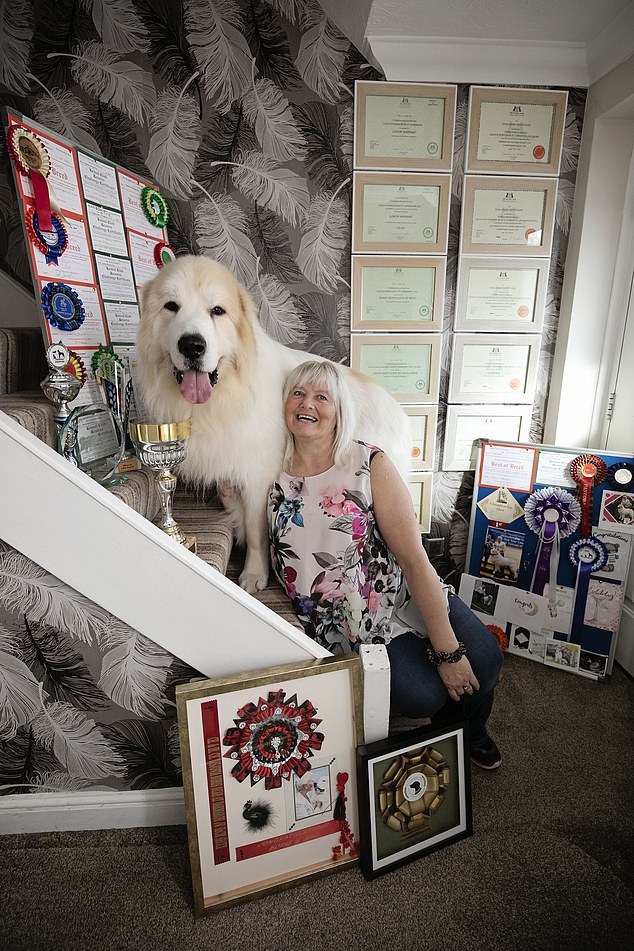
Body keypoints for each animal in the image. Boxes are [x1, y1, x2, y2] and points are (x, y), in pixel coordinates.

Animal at [135, 256, 410, 592]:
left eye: (217, 311)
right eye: (171, 306)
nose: (192, 345)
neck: (227, 392)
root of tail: (397, 407)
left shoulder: (257, 475)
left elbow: (256, 530)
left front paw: (254, 574)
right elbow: (237, 510)